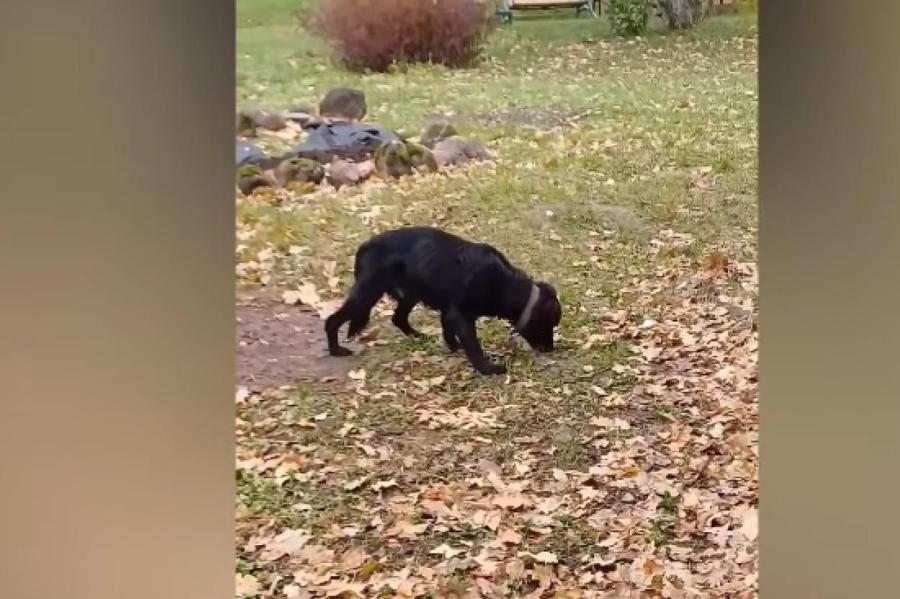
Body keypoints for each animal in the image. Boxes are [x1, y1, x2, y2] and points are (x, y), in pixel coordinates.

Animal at [324, 226, 564, 376]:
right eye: (549, 325)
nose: (550, 349)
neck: (506, 284)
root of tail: (364, 246)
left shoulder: (449, 311)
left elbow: (449, 332)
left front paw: (453, 347)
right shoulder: (461, 314)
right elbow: (473, 346)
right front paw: (488, 369)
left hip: (410, 293)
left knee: (398, 318)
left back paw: (419, 336)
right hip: (367, 294)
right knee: (332, 321)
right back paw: (336, 350)